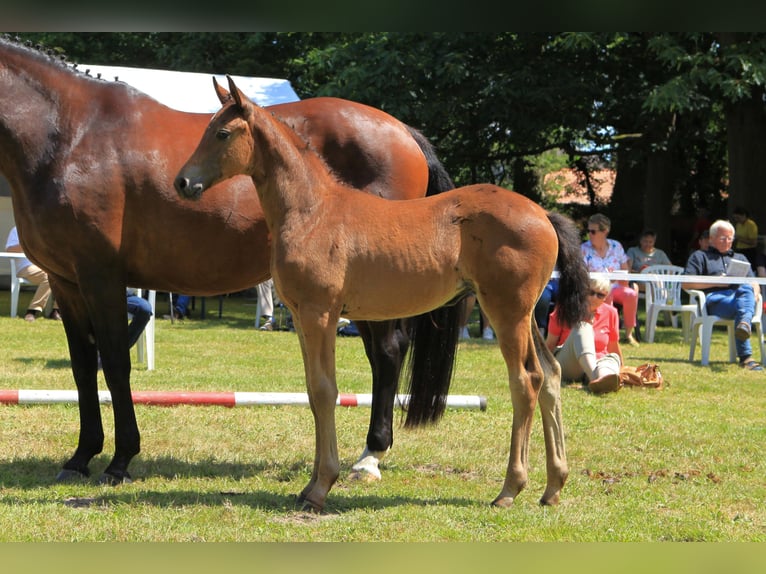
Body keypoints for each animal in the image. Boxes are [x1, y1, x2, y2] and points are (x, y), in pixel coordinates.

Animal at [0, 36, 462, 486]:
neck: (69, 135)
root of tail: (404, 131)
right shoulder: (66, 282)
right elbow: (83, 368)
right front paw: (81, 457)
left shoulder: (101, 279)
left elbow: (114, 364)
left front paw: (120, 460)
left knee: (387, 352)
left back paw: (369, 458)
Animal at [176, 76, 592, 512]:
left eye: (222, 133)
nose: (183, 183)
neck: (313, 211)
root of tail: (543, 214)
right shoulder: (302, 317)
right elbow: (312, 391)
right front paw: (308, 486)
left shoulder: (320, 314)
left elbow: (325, 391)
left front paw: (321, 487)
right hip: (527, 316)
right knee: (551, 374)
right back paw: (553, 486)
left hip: (506, 312)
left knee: (526, 380)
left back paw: (510, 488)